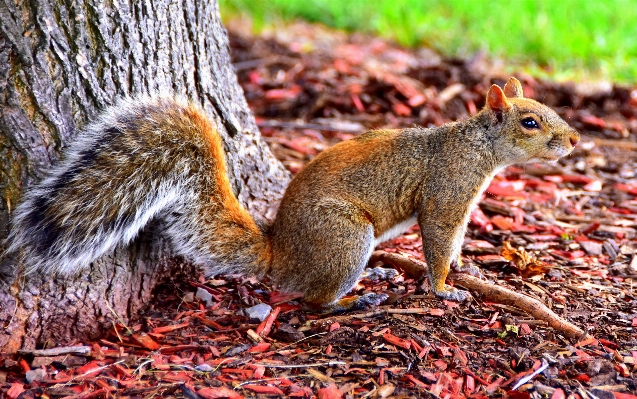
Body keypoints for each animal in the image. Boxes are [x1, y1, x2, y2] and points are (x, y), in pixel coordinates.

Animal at [4, 78, 580, 314]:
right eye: (531, 122)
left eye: (548, 109)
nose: (574, 140)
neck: (478, 148)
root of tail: (280, 256)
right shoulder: (446, 193)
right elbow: (438, 237)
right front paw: (443, 289)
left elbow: (455, 242)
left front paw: (464, 267)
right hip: (346, 237)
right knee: (312, 301)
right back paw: (353, 301)